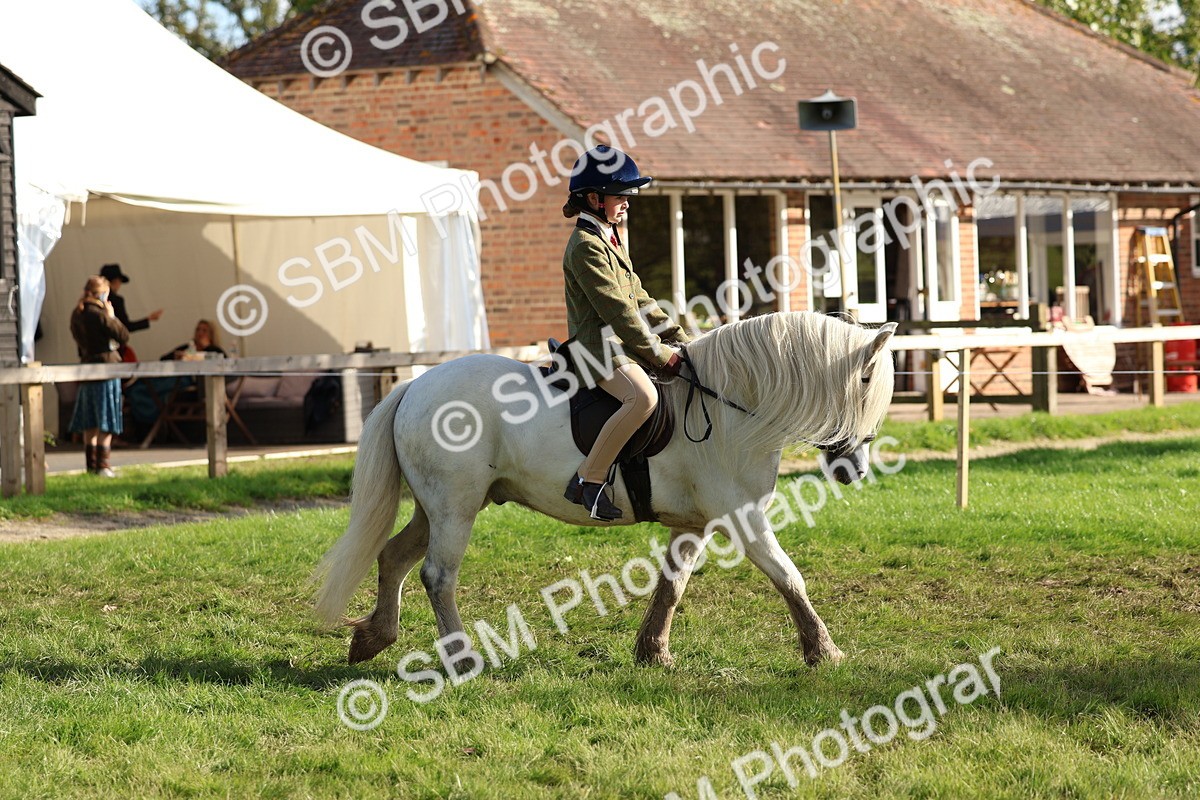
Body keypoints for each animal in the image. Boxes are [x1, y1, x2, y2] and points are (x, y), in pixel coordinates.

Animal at [314, 311, 897, 669]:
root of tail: (416, 385)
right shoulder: (743, 519)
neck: (732, 407)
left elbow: (671, 586)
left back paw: (373, 638)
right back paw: (462, 658)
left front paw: (653, 652)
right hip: (455, 508)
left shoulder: (695, 524)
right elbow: (789, 577)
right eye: (867, 382)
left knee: (394, 557)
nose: (853, 470)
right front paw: (824, 652)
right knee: (437, 575)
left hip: (435, 506)